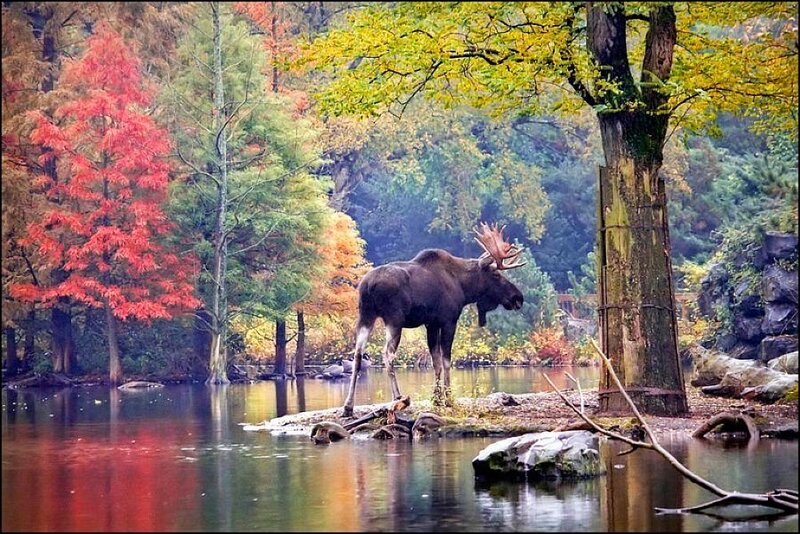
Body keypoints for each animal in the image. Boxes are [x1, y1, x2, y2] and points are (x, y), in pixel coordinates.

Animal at [341, 222, 527, 417]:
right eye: (496, 275)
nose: (518, 297)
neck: (464, 288)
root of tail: (369, 286)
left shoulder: (431, 324)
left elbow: (435, 361)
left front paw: (437, 398)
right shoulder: (448, 321)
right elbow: (446, 360)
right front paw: (448, 398)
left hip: (365, 316)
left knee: (357, 354)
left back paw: (348, 406)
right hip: (394, 319)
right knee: (388, 354)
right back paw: (398, 397)